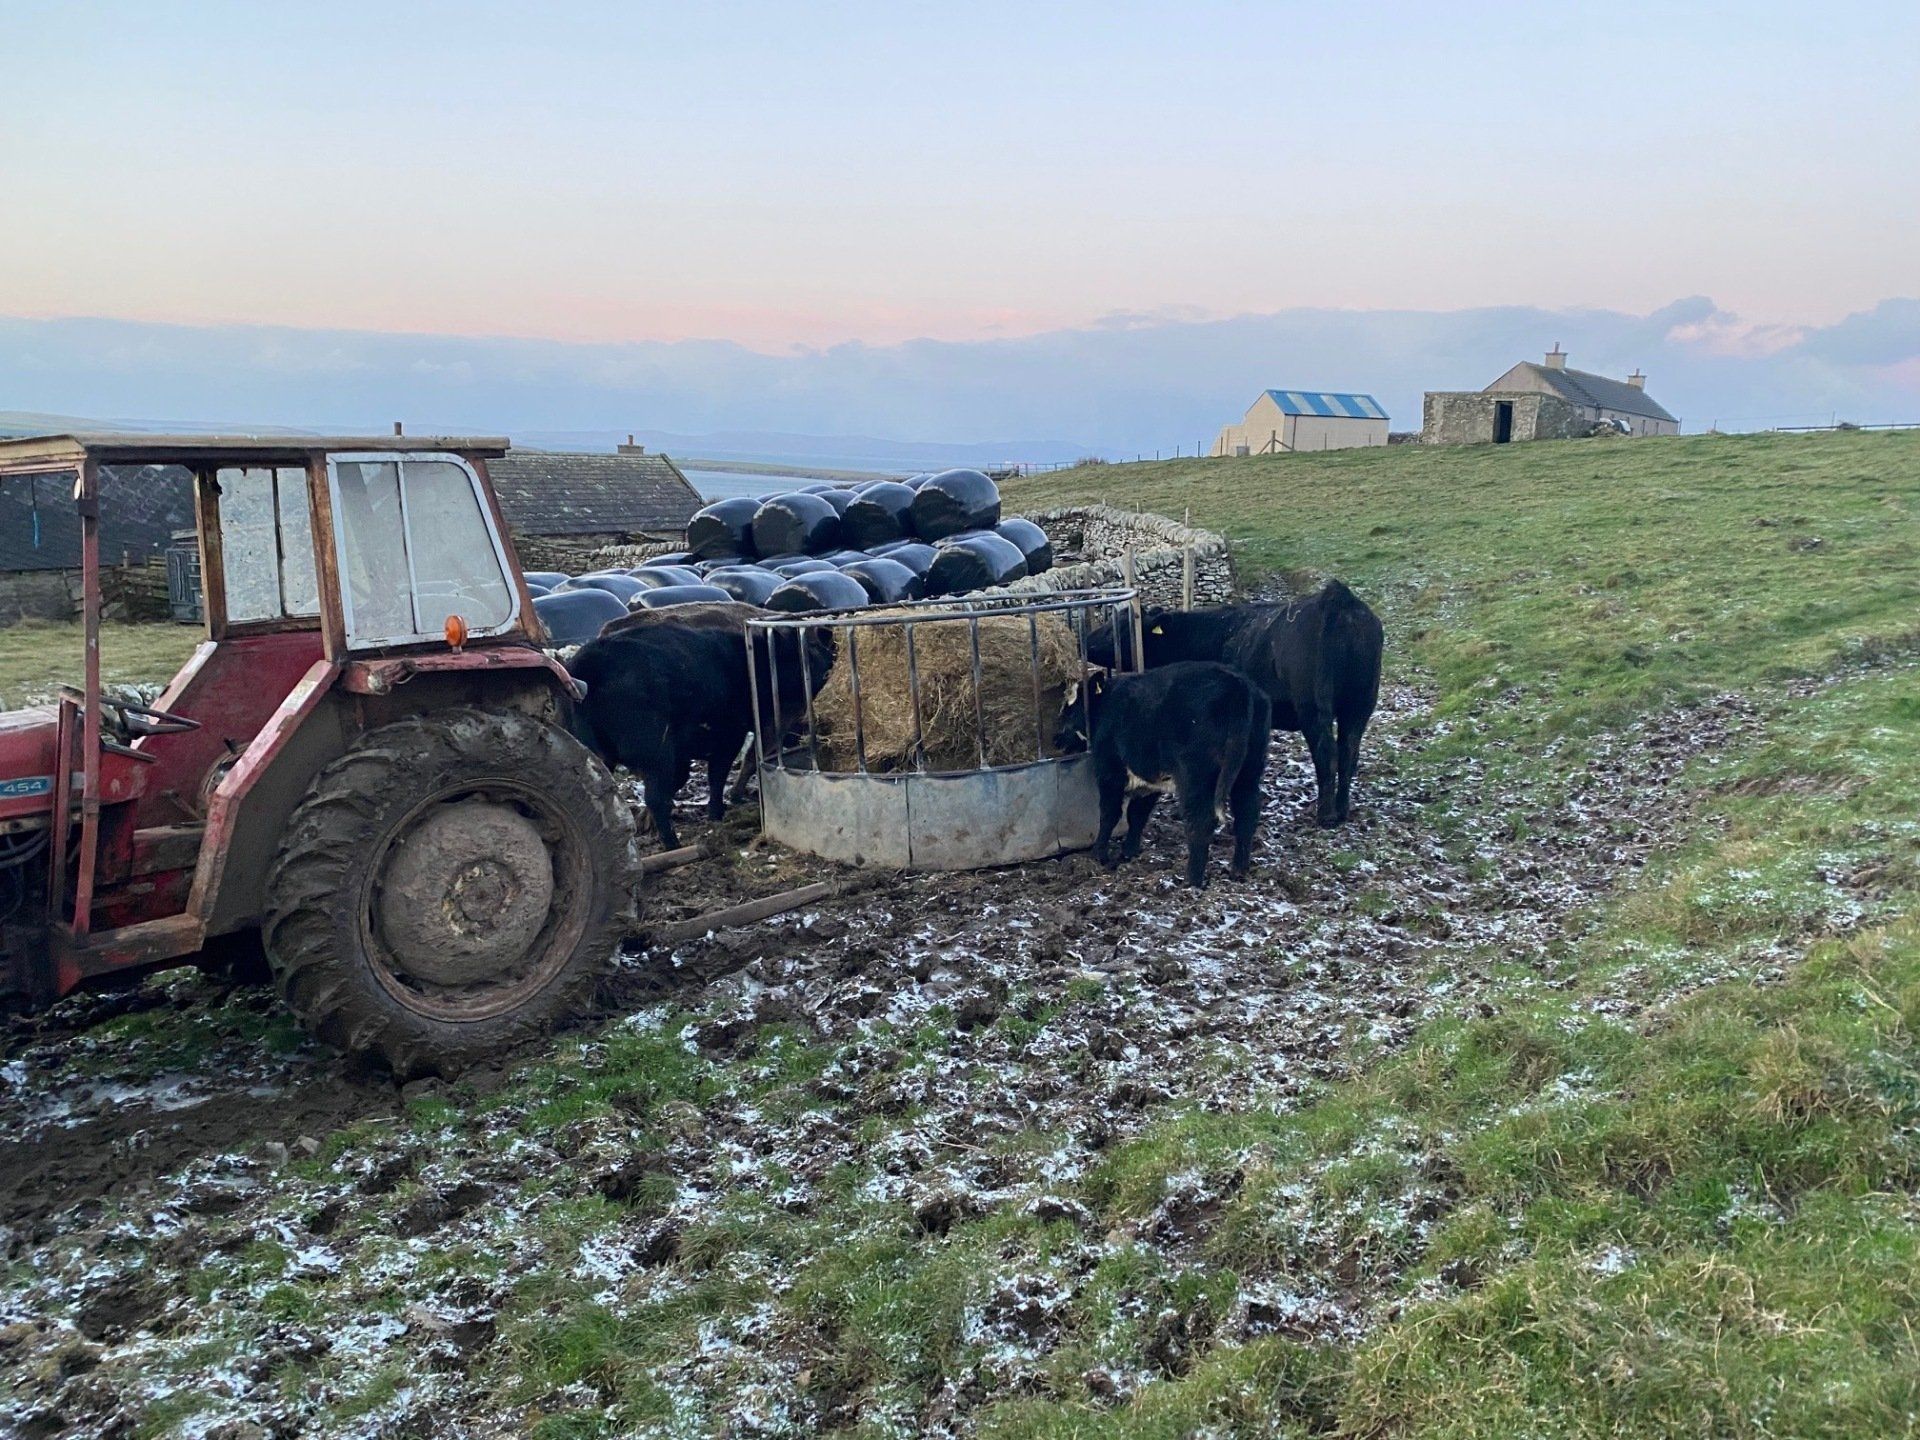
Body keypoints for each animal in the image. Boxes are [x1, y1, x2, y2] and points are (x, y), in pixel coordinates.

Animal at [567, 616, 832, 849]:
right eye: (806, 655)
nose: (827, 665)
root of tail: (589, 664)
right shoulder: (730, 736)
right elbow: (719, 774)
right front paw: (717, 812)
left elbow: (685, 778)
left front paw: (644, 820)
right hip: (655, 752)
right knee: (655, 796)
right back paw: (673, 844)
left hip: (597, 753)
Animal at [1057, 661, 1271, 889]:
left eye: (1069, 709)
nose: (1056, 739)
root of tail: (1238, 685)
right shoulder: (1149, 781)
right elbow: (1137, 814)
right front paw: (1128, 852)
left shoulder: (1109, 770)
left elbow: (1109, 814)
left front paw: (1098, 854)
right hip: (1249, 770)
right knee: (1247, 813)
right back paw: (1238, 870)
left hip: (1195, 775)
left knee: (1202, 820)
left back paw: (1192, 881)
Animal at [1087, 580, 1382, 827]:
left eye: (1120, 629)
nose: (1088, 642)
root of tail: (1337, 599)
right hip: (1359, 705)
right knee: (1348, 753)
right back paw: (1342, 810)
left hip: (1313, 709)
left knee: (1326, 753)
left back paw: (1326, 815)